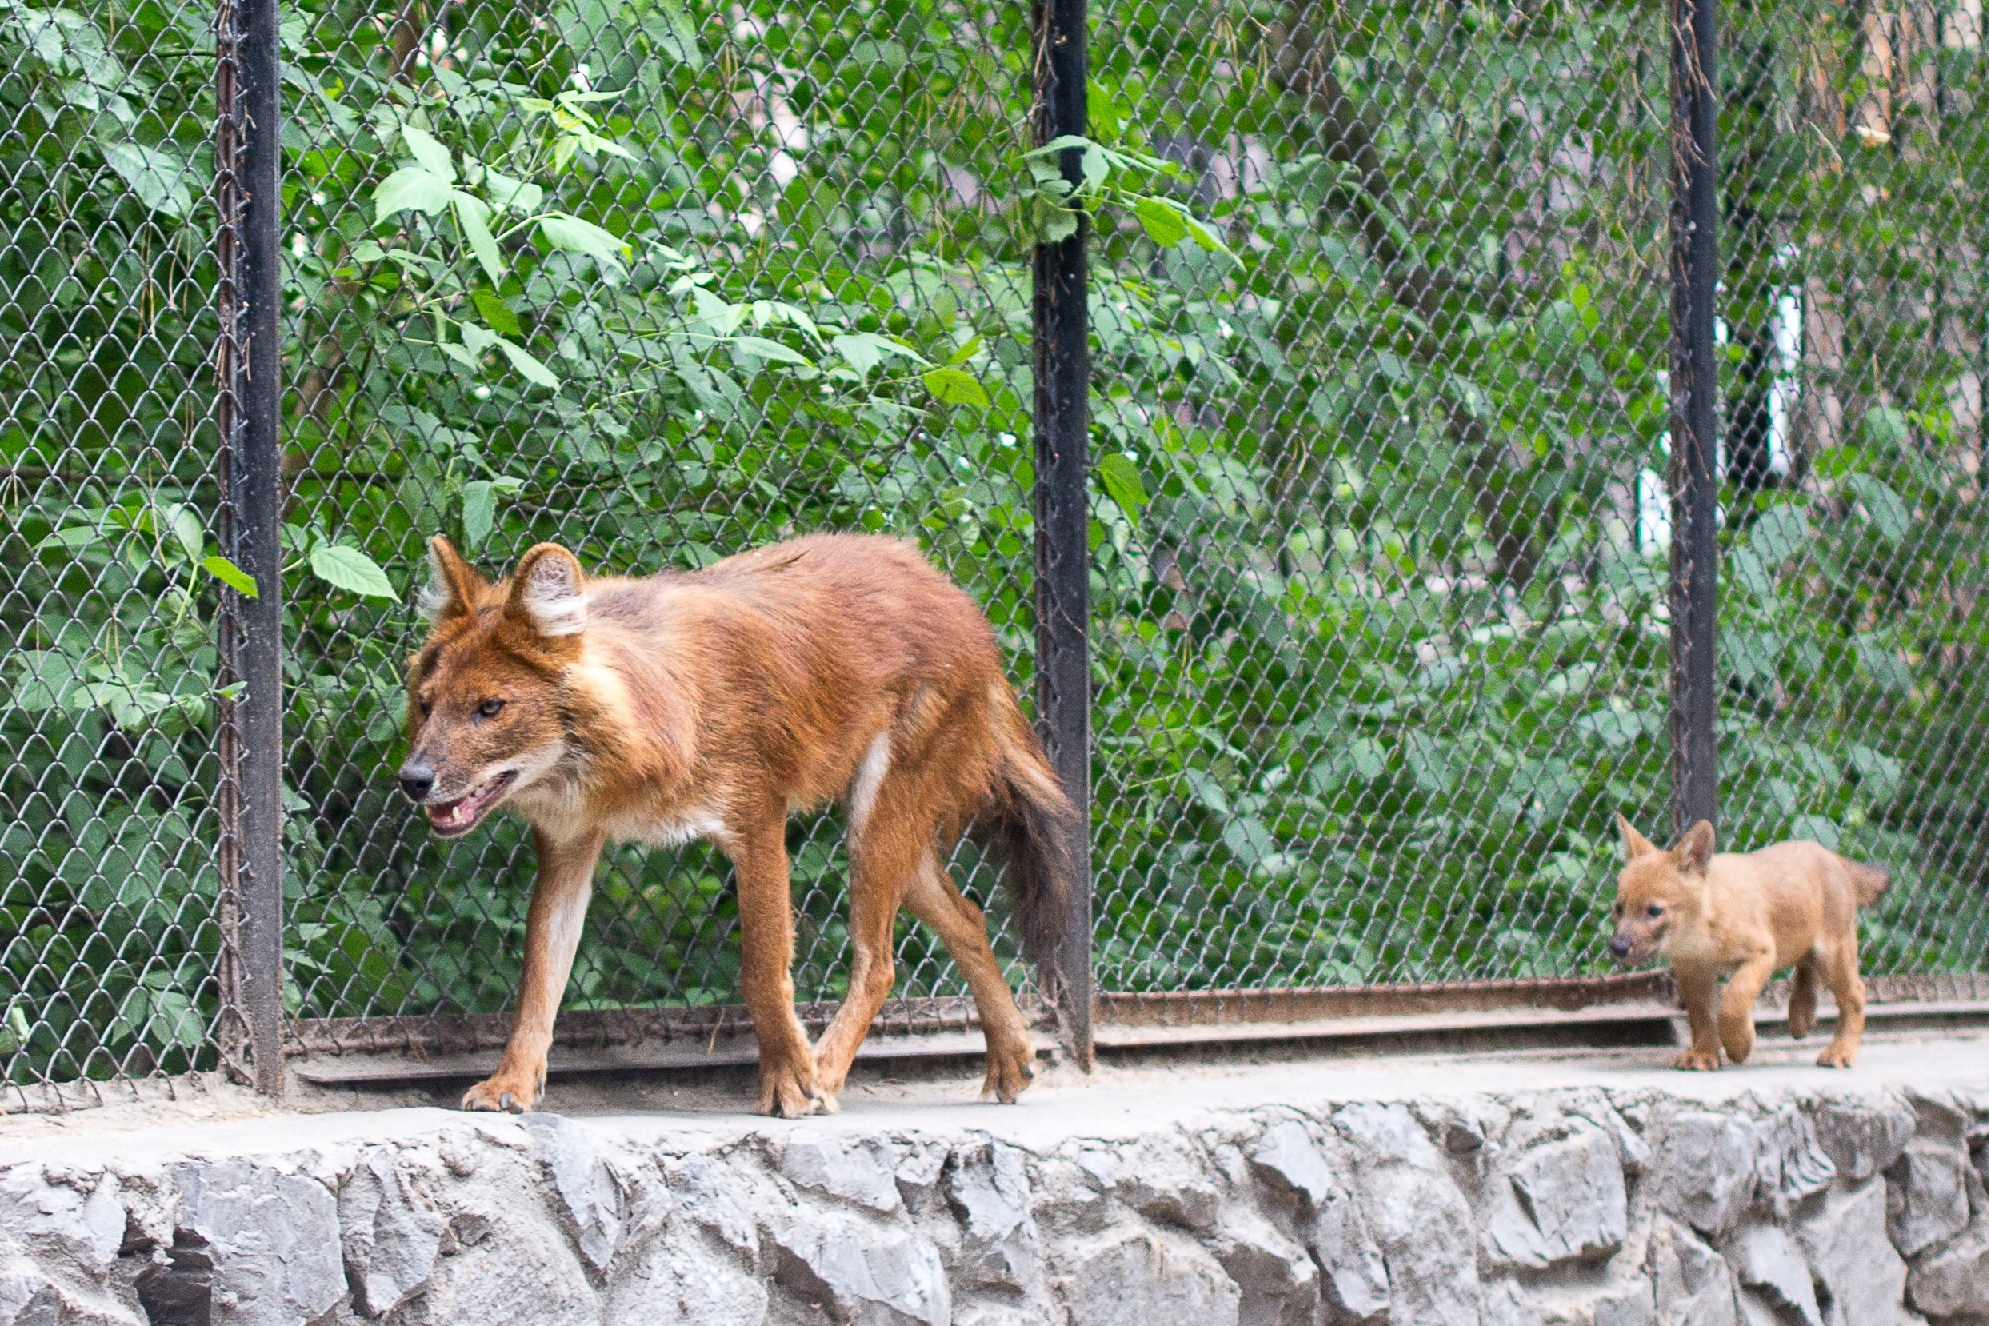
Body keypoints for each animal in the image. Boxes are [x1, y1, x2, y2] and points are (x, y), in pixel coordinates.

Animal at [1607, 815, 1885, 1073]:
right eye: (1619, 909)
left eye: (1654, 911)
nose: (1617, 948)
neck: (1700, 935)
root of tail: (1834, 857)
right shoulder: (1693, 972)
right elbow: (1701, 1017)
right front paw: (1704, 1054)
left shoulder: (1762, 954)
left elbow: (1734, 999)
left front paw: (1740, 1043)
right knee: (1806, 964)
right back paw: (1801, 1014)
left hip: (1832, 954)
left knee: (1856, 994)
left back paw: (1840, 1051)